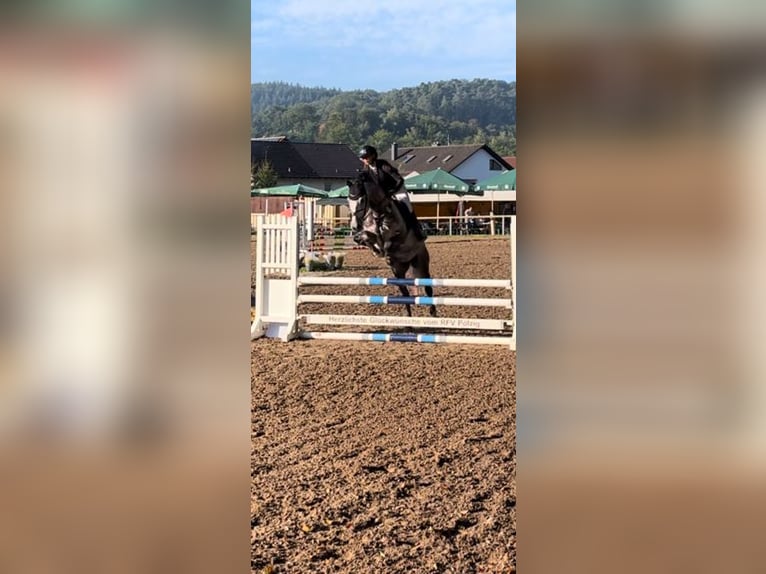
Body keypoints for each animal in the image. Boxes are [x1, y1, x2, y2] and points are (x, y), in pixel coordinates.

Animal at [344, 176, 436, 320]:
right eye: (348, 201)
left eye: (362, 199)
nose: (354, 226)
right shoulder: (366, 232)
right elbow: (364, 237)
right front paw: (376, 250)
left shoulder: (398, 232)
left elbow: (383, 238)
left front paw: (382, 248)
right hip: (397, 271)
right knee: (405, 294)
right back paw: (408, 318)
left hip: (420, 263)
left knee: (427, 288)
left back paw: (433, 312)